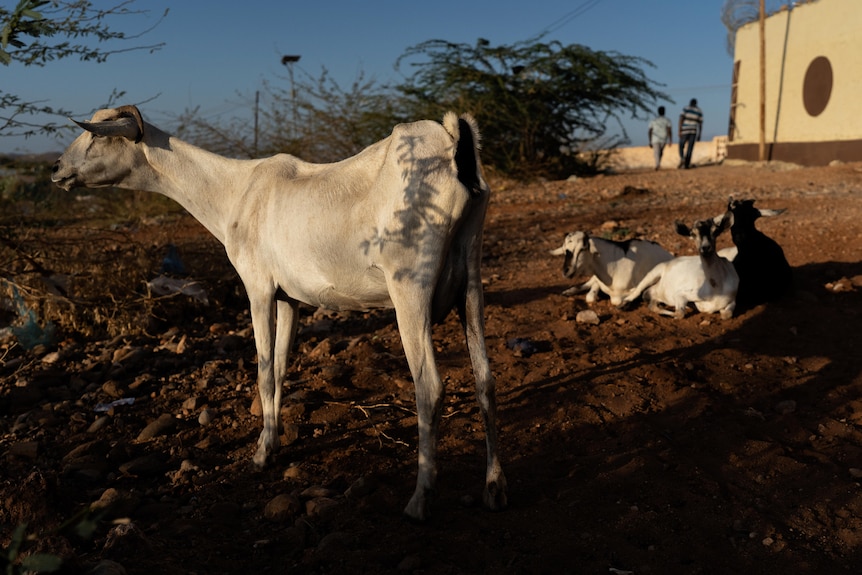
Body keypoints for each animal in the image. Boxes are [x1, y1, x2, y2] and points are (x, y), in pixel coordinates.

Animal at [52, 104, 506, 520]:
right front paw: (274, 439)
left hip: (409, 285)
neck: (232, 191)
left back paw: (419, 498)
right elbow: (283, 367)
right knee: (485, 378)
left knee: (429, 386)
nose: (56, 169)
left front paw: (261, 454)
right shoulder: (290, 298)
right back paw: (493, 486)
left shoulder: (258, 287)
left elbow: (264, 370)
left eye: (95, 134)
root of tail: (453, 141)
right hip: (472, 279)